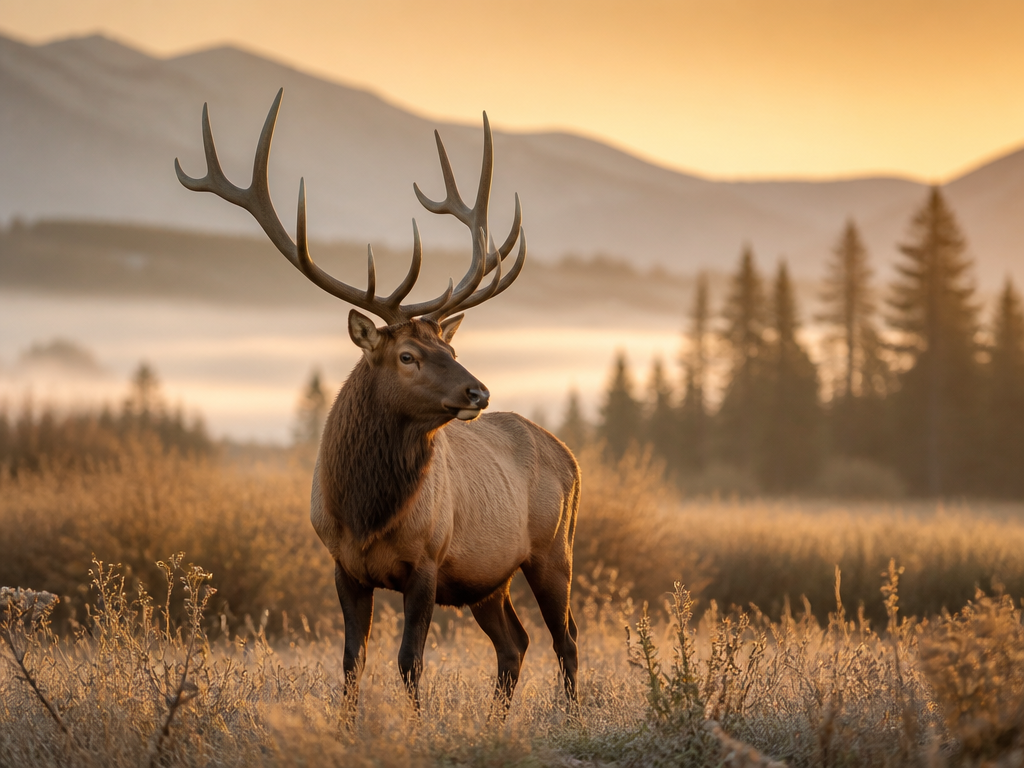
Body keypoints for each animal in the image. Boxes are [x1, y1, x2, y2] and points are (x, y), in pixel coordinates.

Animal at [175, 89, 580, 709]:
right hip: (488, 578)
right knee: (516, 643)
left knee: (567, 640)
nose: (479, 390)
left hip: (553, 548)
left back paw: (571, 715)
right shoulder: (344, 565)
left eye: (448, 345)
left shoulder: (428, 562)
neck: (365, 511)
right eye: (408, 355)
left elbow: (410, 661)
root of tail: (569, 456)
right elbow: (351, 662)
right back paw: (497, 719)